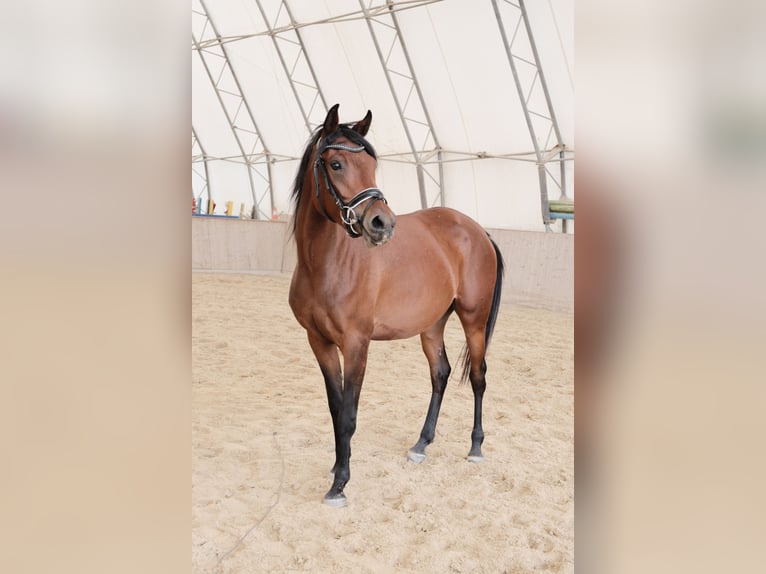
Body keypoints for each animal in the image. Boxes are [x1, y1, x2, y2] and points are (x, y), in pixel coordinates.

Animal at [288, 104, 504, 507]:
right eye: (336, 164)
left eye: (372, 164)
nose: (381, 223)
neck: (326, 264)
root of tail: (478, 231)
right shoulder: (319, 341)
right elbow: (335, 407)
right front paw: (337, 466)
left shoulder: (356, 344)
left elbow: (349, 414)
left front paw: (340, 484)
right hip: (432, 325)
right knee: (440, 373)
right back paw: (421, 444)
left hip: (475, 321)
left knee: (479, 377)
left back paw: (475, 447)